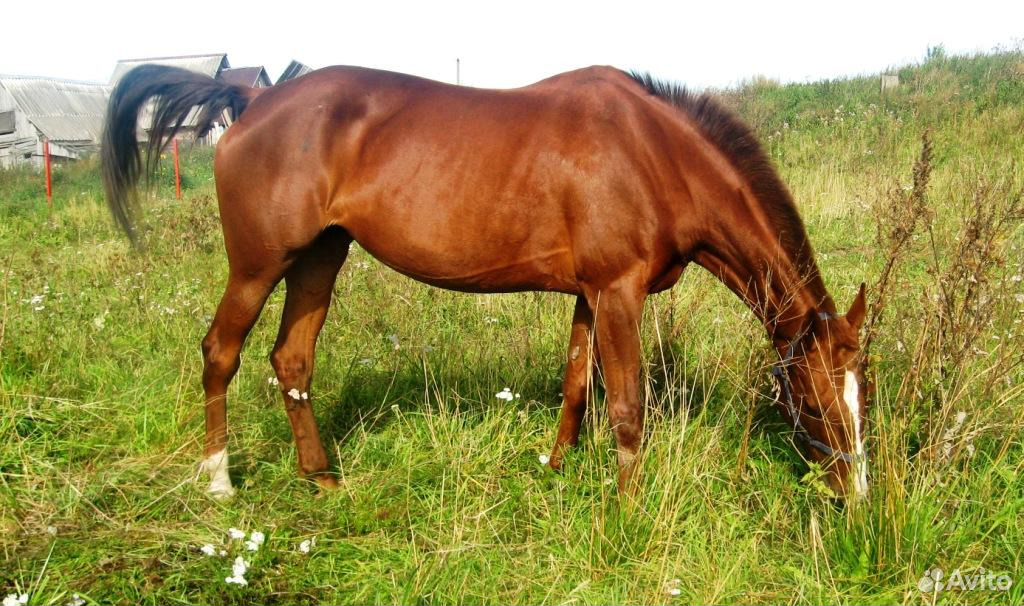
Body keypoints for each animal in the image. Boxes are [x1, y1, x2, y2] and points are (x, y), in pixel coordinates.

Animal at [101, 63, 872, 501]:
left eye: (862, 397)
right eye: (815, 402)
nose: (855, 496)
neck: (655, 153)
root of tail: (252, 96)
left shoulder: (590, 293)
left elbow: (576, 387)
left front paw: (556, 470)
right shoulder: (618, 292)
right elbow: (627, 410)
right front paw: (630, 513)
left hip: (322, 256)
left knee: (292, 360)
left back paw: (321, 479)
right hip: (260, 264)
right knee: (220, 353)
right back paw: (219, 482)